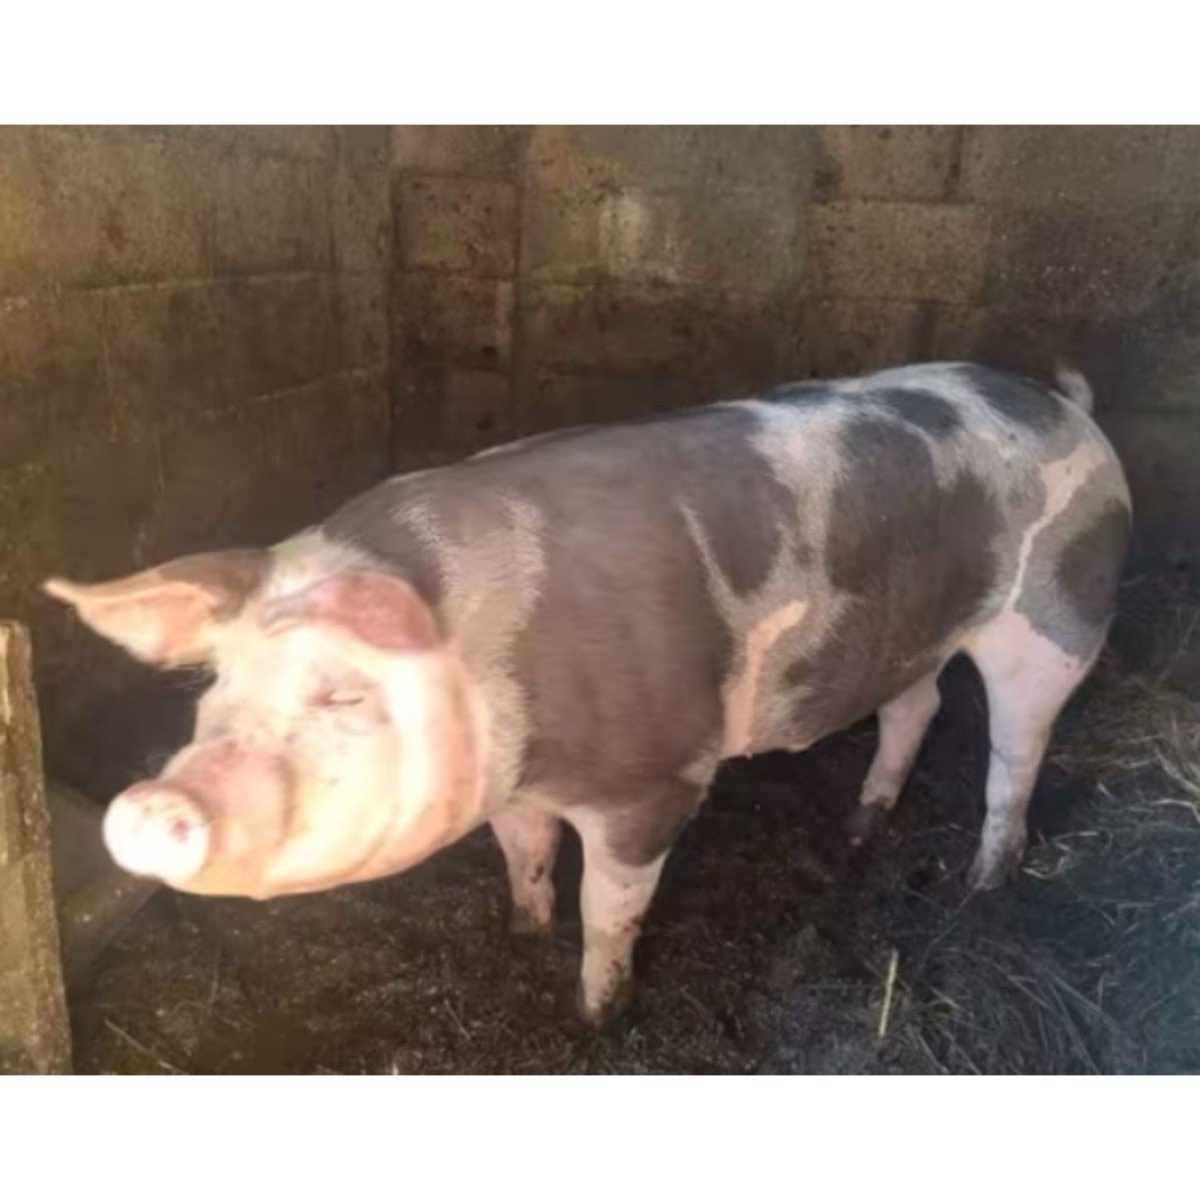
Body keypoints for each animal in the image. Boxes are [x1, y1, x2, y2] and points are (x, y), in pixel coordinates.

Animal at [44, 362, 1131, 1023]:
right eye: (216, 688)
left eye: (344, 696)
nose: (150, 804)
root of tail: (1064, 404)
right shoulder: (519, 788)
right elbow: (525, 859)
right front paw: (521, 938)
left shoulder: (656, 782)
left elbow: (611, 906)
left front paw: (597, 1015)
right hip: (914, 636)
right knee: (918, 705)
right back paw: (863, 828)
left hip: (1058, 618)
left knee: (1014, 755)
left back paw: (983, 885)